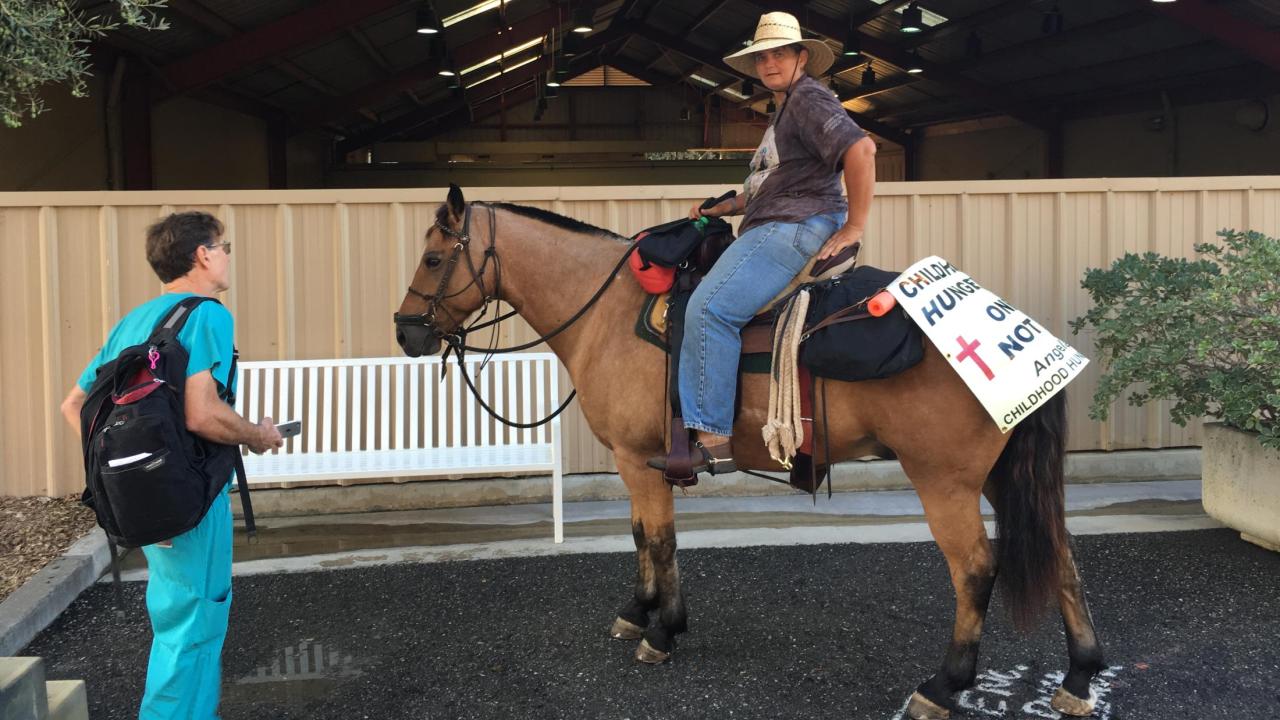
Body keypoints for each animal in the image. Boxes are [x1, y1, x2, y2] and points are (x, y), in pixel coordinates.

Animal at [394, 185, 1105, 717]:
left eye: (432, 259)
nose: (405, 333)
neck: (605, 310)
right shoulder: (636, 461)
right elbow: (641, 535)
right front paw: (640, 612)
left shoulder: (639, 457)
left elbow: (658, 539)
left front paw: (662, 630)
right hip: (1001, 474)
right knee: (1062, 554)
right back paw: (1079, 677)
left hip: (944, 479)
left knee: (976, 570)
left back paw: (944, 685)